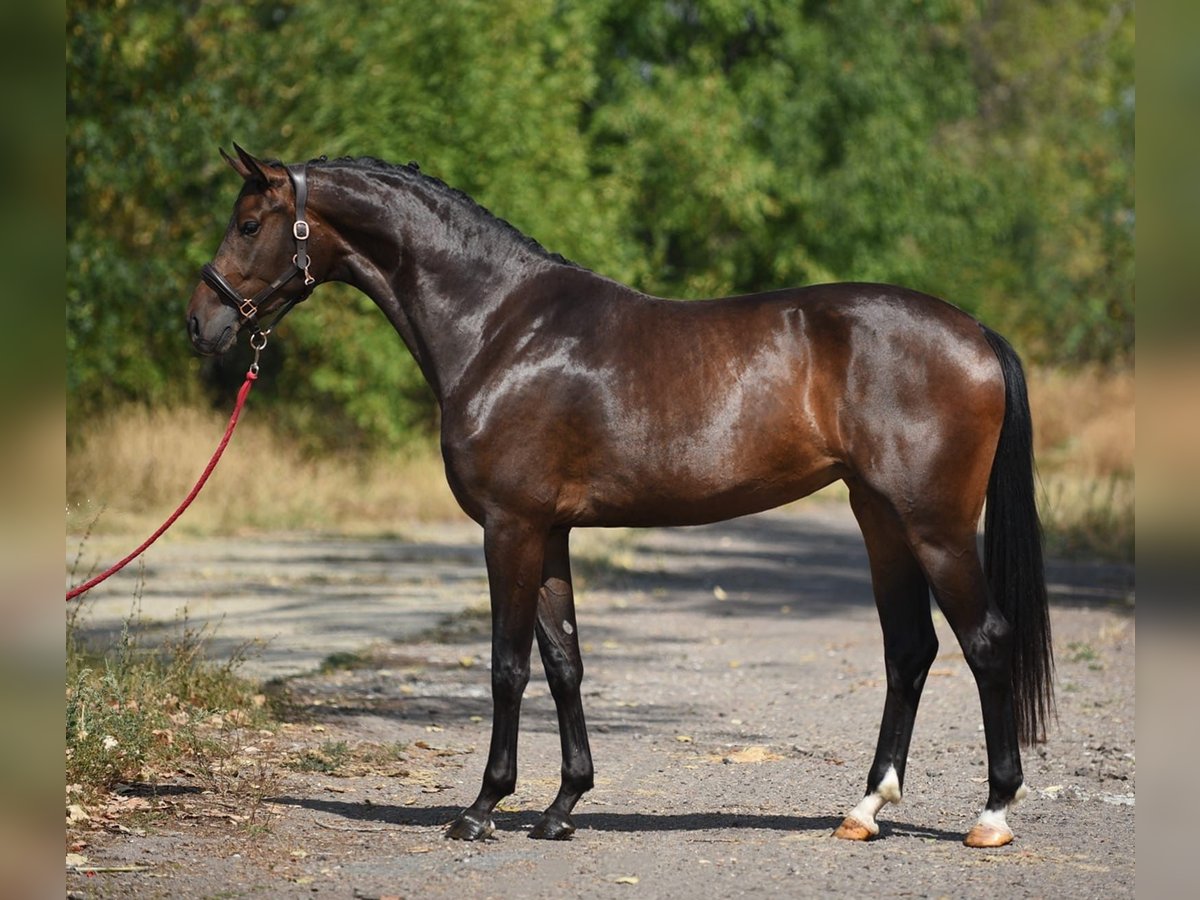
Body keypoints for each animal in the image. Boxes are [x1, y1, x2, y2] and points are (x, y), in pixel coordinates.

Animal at [184, 144, 1051, 849]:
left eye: (250, 222)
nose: (201, 323)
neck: (500, 328)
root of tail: (975, 332)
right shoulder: (550, 532)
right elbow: (564, 660)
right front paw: (562, 807)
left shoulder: (510, 527)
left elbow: (507, 665)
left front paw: (482, 809)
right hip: (880, 519)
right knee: (910, 650)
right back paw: (864, 810)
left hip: (934, 525)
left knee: (986, 641)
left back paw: (992, 814)